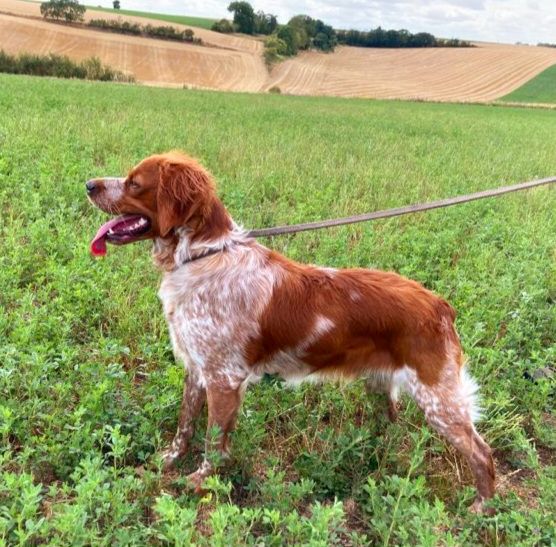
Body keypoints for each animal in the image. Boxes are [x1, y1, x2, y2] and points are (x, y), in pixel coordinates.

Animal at [87, 151, 496, 512]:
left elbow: (213, 442)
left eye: (134, 182)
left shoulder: (224, 378)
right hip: (383, 386)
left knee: (482, 452)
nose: (89, 184)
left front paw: (201, 484)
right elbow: (184, 426)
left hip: (438, 399)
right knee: (391, 430)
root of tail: (439, 305)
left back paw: (482, 508)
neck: (204, 257)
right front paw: (167, 461)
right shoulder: (197, 368)